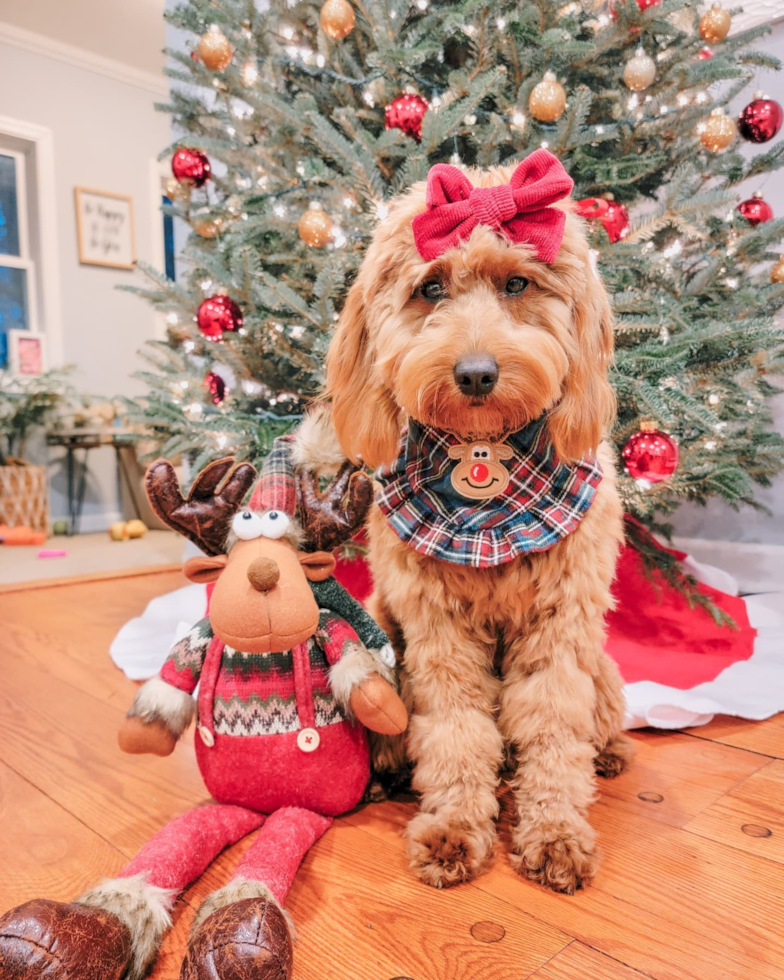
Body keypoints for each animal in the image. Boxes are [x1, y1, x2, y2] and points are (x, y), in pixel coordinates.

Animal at [324, 165, 632, 892]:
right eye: (431, 288)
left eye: (517, 284)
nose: (475, 373)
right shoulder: (437, 632)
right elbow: (457, 731)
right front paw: (455, 827)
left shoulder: (559, 628)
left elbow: (552, 730)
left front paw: (555, 832)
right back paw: (390, 776)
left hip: (603, 669)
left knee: (593, 724)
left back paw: (606, 756)